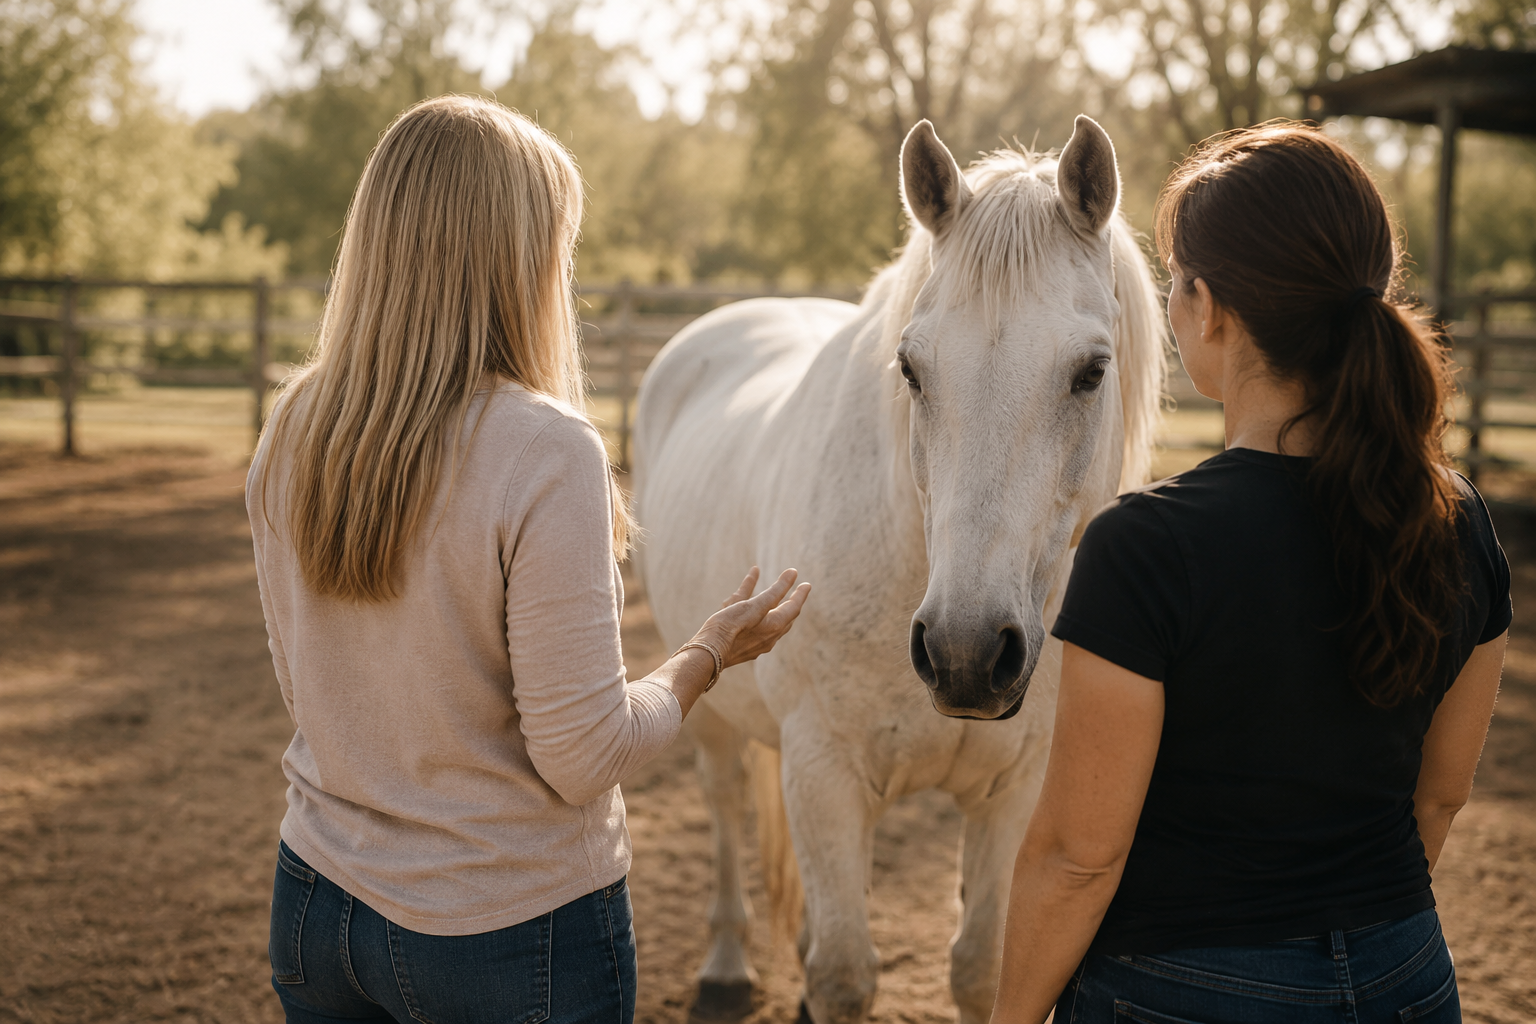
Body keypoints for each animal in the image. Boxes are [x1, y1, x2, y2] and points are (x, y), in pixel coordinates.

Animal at [631, 115, 1166, 1024]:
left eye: (1092, 371)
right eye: (911, 369)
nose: (964, 654)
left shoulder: (1015, 793)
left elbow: (981, 967)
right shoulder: (825, 773)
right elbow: (845, 974)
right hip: (710, 721)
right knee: (727, 808)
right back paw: (727, 967)